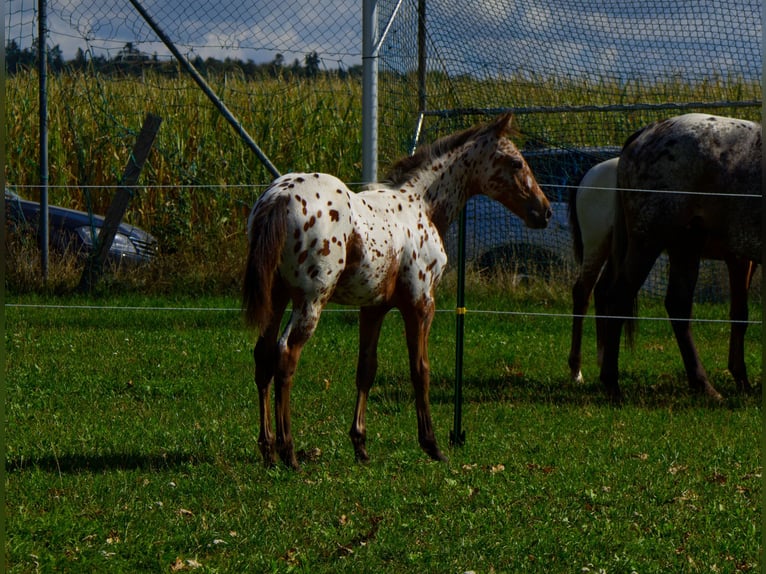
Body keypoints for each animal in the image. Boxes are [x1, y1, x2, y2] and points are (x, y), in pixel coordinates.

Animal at [243, 113, 552, 468]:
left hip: (277, 298)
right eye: (516, 162)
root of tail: (278, 198)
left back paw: (268, 450)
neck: (420, 206)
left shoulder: (373, 307)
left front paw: (360, 445)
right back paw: (289, 451)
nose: (544, 211)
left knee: (263, 356)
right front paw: (431, 444)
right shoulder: (420, 304)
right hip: (310, 301)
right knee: (286, 355)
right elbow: (421, 370)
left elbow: (366, 369)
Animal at [567, 158, 757, 390]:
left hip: (620, 250)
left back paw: (603, 359)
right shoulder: (738, 258)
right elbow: (739, 315)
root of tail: (588, 175)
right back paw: (576, 370)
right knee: (582, 293)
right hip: (597, 245)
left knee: (603, 291)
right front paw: (741, 377)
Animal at [594, 113, 761, 402]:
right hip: (649, 242)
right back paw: (612, 383)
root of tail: (649, 132)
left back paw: (702, 384)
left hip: (686, 245)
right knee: (618, 298)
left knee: (678, 305)